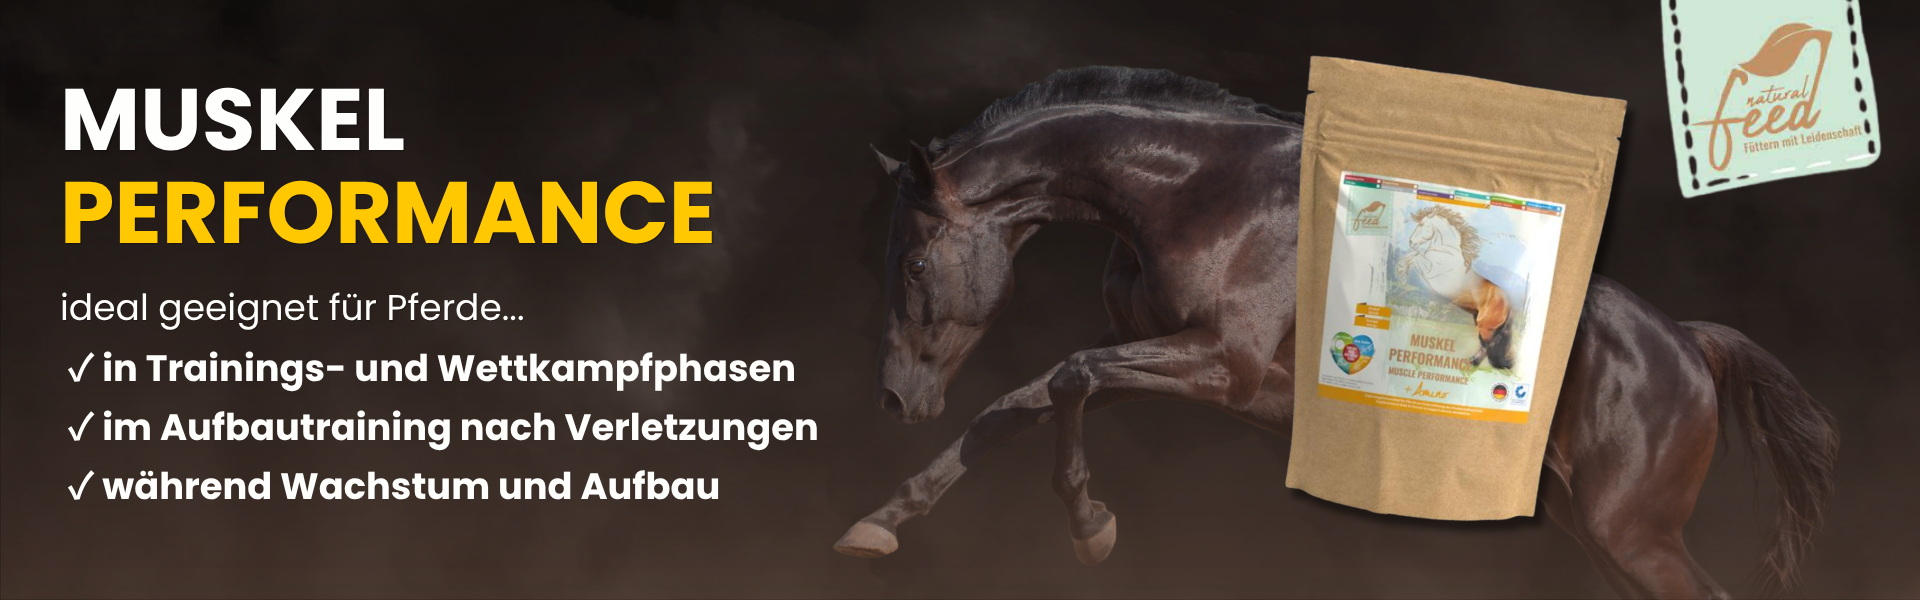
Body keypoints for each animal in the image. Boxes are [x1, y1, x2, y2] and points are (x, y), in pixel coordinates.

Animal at [1396, 205, 1517, 369]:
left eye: (1421, 224)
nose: (1411, 241)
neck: (1446, 250)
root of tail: (1508, 304)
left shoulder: (1430, 271)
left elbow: (1415, 256)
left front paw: (1401, 274)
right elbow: (1413, 255)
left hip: (1486, 327)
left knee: (1488, 345)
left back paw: (1472, 362)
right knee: (1486, 345)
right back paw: (1472, 361)